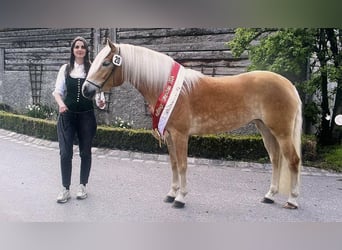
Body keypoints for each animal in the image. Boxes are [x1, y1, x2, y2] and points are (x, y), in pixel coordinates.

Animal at [83, 40, 302, 210]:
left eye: (105, 63)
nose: (86, 90)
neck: (169, 89)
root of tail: (288, 84)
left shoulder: (180, 135)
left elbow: (182, 165)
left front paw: (180, 198)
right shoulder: (169, 135)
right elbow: (173, 164)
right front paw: (171, 193)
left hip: (281, 132)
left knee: (292, 160)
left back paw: (292, 200)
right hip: (265, 129)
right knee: (276, 160)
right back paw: (269, 196)